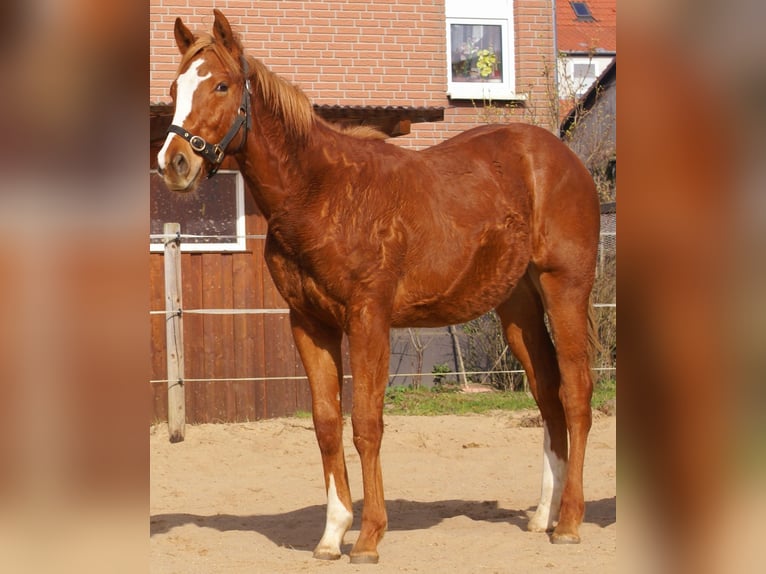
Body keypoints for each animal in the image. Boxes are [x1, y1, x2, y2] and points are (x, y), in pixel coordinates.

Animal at [157, 10, 600, 565]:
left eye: (220, 85)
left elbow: (367, 423)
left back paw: (570, 522)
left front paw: (368, 537)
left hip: (565, 290)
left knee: (577, 394)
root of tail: (562, 156)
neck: (321, 192)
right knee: (547, 396)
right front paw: (332, 534)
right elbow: (326, 423)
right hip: (518, 308)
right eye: (174, 88)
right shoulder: (309, 323)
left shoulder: (368, 317)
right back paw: (543, 515)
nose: (173, 163)